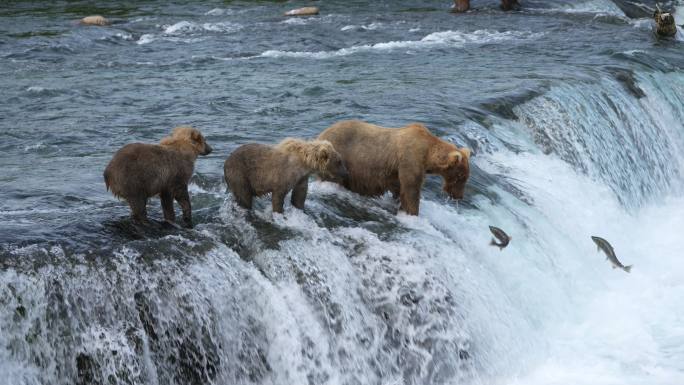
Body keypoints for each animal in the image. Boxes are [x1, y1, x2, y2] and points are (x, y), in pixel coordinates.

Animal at [316, 119, 470, 214]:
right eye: (460, 177)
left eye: (465, 177)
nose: (459, 196)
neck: (427, 153)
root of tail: (319, 136)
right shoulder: (410, 159)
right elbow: (411, 189)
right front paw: (412, 212)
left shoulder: (395, 170)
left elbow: (398, 187)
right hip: (338, 158)